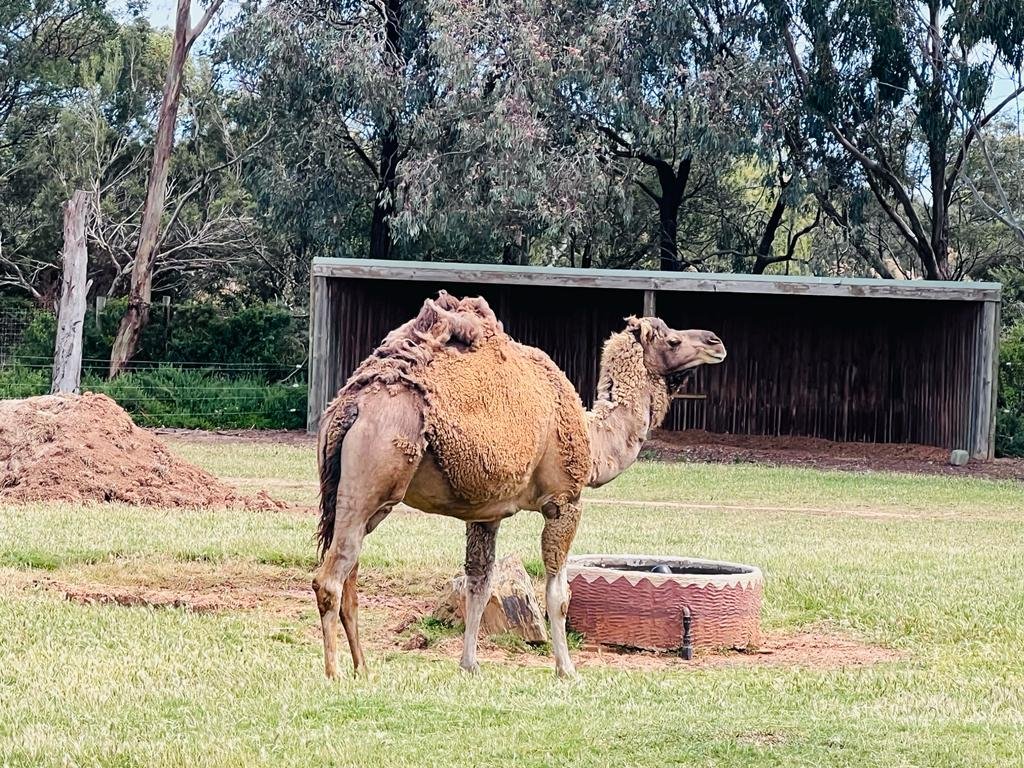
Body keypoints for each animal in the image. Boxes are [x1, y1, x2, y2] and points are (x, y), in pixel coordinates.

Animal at [312, 291, 726, 678]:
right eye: (672, 340)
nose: (715, 342)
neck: (593, 442)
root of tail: (352, 405)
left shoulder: (486, 514)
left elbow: (479, 585)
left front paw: (470, 665)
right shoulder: (564, 501)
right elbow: (558, 595)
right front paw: (567, 670)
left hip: (362, 497)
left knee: (350, 574)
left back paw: (363, 669)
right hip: (371, 481)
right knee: (329, 579)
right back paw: (333, 673)